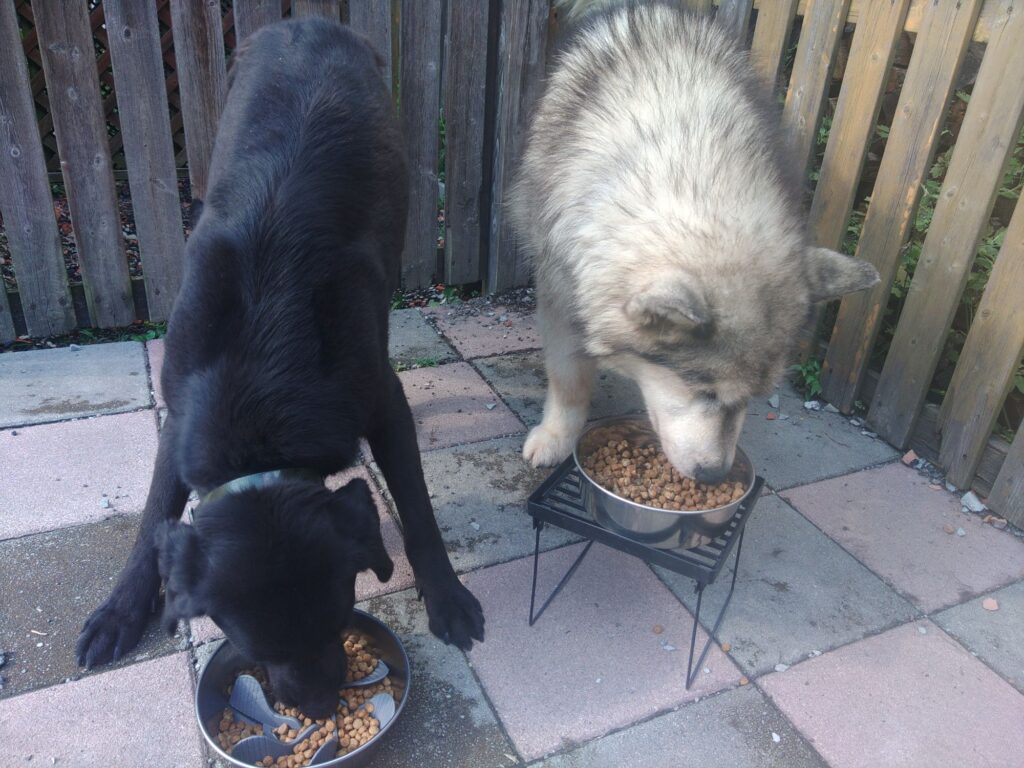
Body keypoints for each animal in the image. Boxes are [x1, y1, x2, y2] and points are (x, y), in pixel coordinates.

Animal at [75, 18, 483, 717]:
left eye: (338, 617)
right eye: (252, 647)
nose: (317, 709)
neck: (258, 394)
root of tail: (308, 22)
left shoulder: (381, 399)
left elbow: (417, 506)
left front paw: (447, 594)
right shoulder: (179, 412)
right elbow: (154, 512)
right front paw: (119, 611)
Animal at [510, 0, 879, 481]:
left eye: (752, 396)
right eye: (702, 389)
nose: (715, 474)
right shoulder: (560, 292)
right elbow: (568, 375)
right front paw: (557, 435)